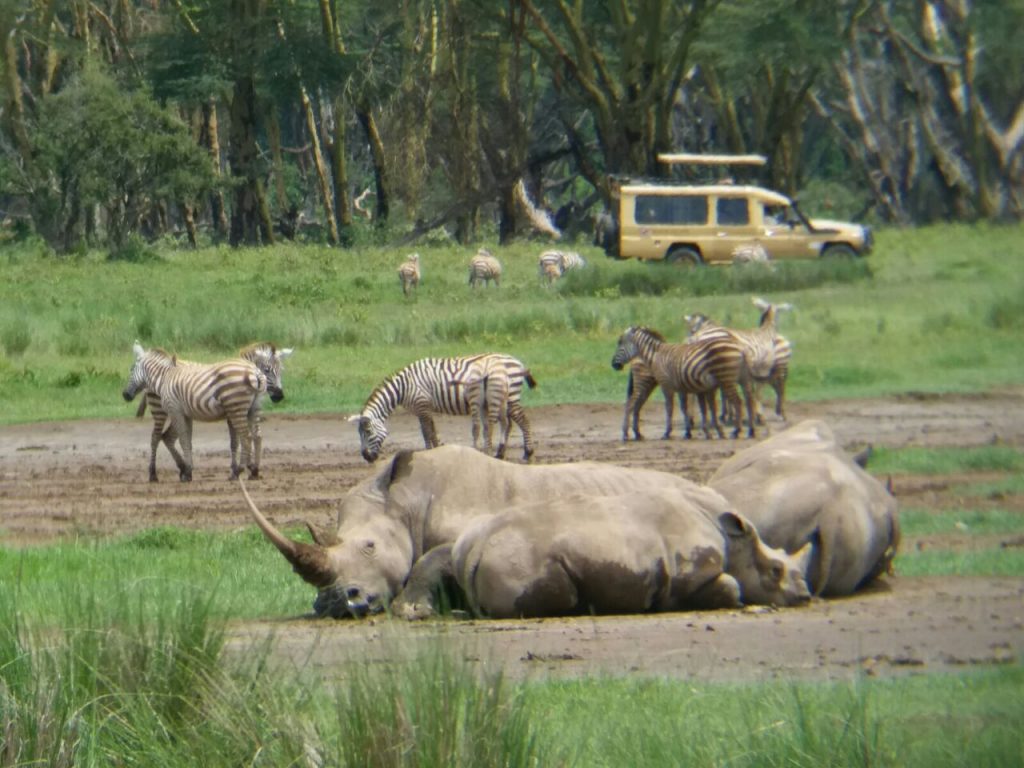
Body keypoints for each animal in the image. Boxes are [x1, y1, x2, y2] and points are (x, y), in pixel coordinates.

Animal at [354, 354, 536, 462]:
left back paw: (528, 453)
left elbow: (427, 432)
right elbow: (430, 431)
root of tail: (517, 361)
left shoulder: (422, 405)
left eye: (368, 432)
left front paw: (430, 451)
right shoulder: (422, 409)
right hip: (501, 401)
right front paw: (436, 450)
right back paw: (500, 453)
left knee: (523, 421)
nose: (366, 457)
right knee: (509, 424)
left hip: (510, 398)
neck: (403, 387)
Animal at [610, 327, 757, 442]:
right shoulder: (690, 387)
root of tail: (740, 347)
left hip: (726, 379)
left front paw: (668, 433)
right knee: (749, 399)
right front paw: (694, 431)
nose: (614, 365)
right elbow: (696, 408)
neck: (655, 356)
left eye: (620, 344)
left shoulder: (667, 385)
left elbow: (671, 408)